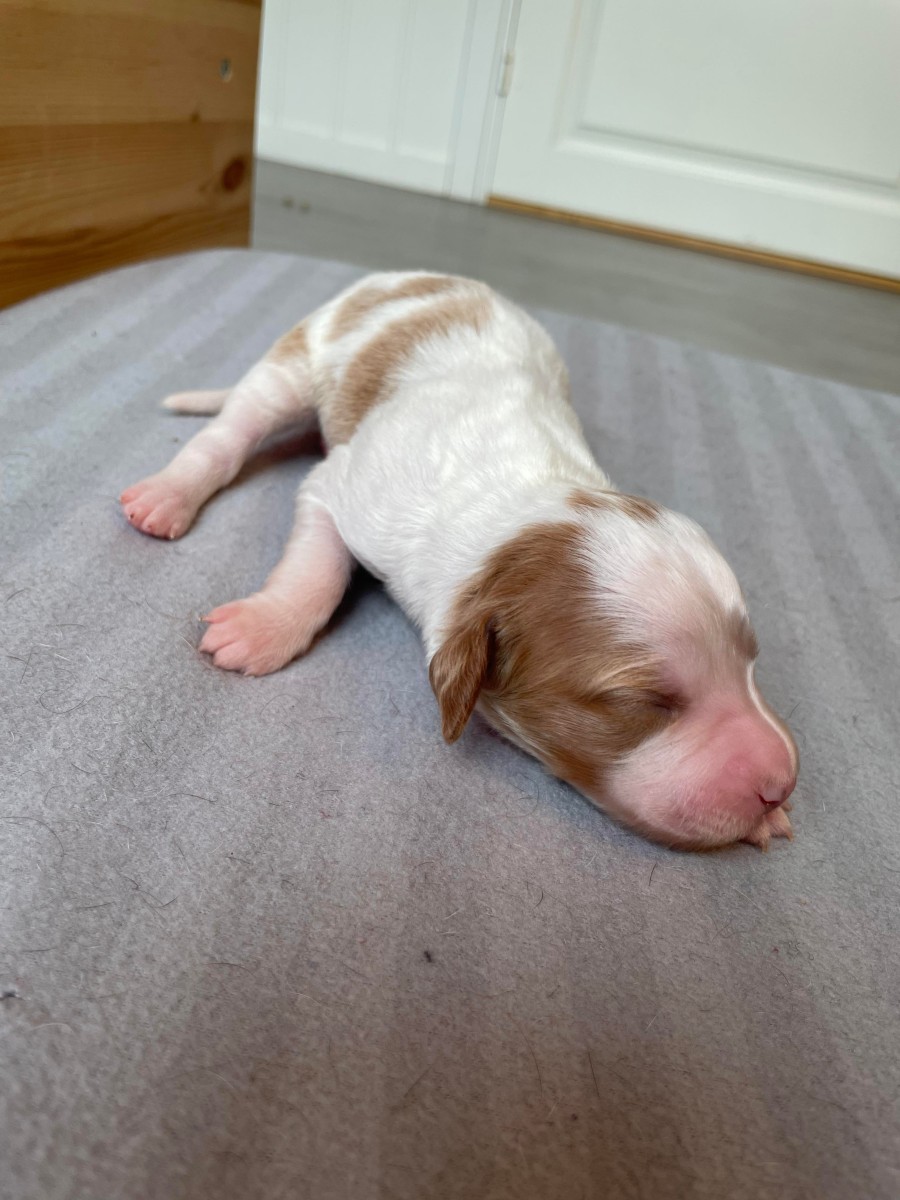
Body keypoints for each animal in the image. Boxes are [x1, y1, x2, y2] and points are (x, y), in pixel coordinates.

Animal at [121, 271, 798, 849]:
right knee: (230, 432)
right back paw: (166, 496)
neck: (527, 499)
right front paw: (263, 628)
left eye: (751, 662)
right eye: (644, 702)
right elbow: (317, 568)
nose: (780, 784)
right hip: (294, 363)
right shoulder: (344, 488)